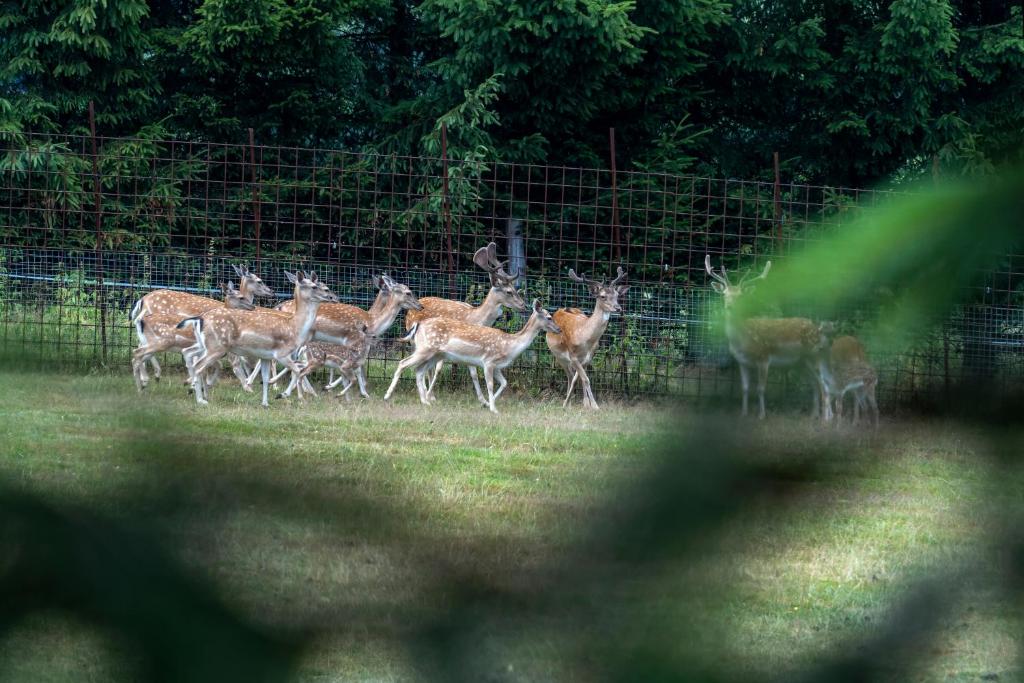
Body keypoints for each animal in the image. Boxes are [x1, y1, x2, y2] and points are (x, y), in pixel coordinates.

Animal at [184, 270, 339, 405]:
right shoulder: (281, 353)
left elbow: (265, 378)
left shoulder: (265, 356)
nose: (332, 297)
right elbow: (297, 370)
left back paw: (198, 391)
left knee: (192, 358)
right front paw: (287, 395)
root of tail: (200, 319)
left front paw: (265, 403)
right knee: (199, 366)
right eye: (314, 286)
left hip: (206, 345)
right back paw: (201, 399)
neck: (294, 328)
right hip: (216, 346)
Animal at [382, 296, 561, 413]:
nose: (559, 329)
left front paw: (488, 404)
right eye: (549, 317)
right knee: (403, 363)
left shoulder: (497, 366)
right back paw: (387, 396)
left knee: (418, 371)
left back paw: (425, 401)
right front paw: (493, 408)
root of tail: (418, 325)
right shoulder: (488, 361)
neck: (510, 346)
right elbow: (490, 384)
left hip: (432, 354)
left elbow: (504, 383)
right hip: (425, 349)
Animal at [403, 242, 524, 405]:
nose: (523, 305)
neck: (476, 318)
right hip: (416, 340)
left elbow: (472, 373)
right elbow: (448, 370)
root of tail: (410, 310)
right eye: (508, 291)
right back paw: (429, 393)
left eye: (515, 288)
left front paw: (483, 400)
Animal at [544, 264, 630, 409]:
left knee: (573, 377)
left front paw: (587, 404)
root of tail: (559, 310)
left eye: (617, 295)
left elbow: (581, 379)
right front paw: (594, 406)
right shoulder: (573, 356)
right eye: (602, 296)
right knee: (569, 375)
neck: (585, 339)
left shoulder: (589, 357)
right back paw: (567, 401)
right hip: (558, 356)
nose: (618, 308)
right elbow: (585, 379)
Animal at [704, 253, 831, 419]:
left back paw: (826, 419)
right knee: (815, 384)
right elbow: (745, 388)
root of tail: (822, 333)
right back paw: (813, 415)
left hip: (814, 356)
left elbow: (760, 388)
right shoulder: (742, 362)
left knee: (824, 385)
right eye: (725, 294)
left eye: (740, 296)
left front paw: (761, 415)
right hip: (802, 363)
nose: (730, 307)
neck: (742, 341)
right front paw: (743, 413)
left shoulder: (764, 357)